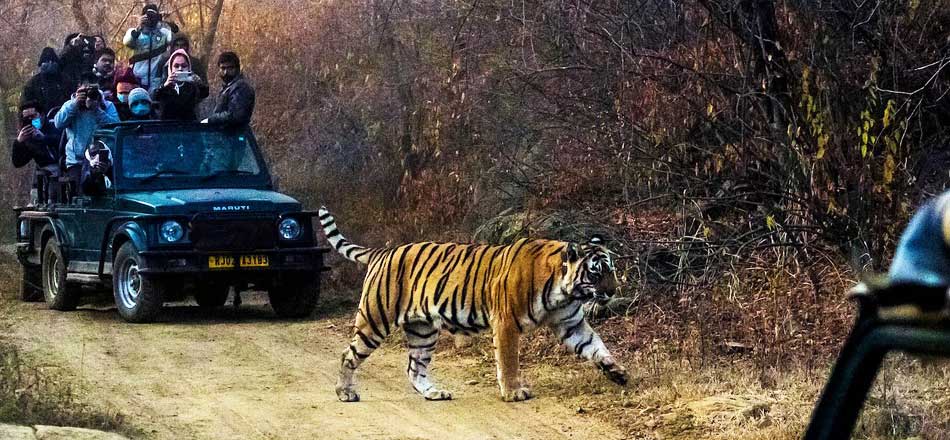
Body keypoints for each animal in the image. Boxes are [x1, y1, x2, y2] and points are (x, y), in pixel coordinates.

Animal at [320, 206, 632, 402]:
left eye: (612, 270)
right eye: (596, 273)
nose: (613, 291)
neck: (564, 291)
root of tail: (383, 251)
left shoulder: (571, 323)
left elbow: (596, 346)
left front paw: (618, 372)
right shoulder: (506, 323)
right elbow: (508, 361)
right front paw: (513, 392)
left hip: (423, 330)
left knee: (414, 368)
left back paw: (434, 393)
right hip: (375, 320)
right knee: (348, 355)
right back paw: (345, 393)